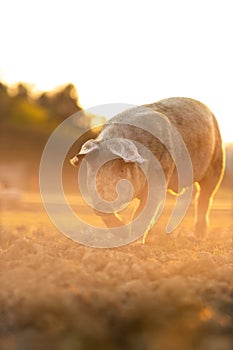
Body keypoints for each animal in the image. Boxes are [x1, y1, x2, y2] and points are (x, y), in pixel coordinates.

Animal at [70, 98, 225, 241]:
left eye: (122, 170)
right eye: (94, 170)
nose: (103, 203)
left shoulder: (159, 179)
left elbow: (143, 214)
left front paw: (134, 242)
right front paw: (124, 234)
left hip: (217, 164)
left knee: (204, 198)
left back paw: (199, 236)